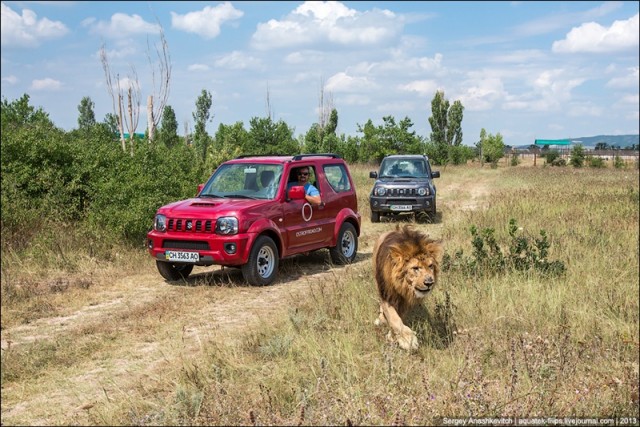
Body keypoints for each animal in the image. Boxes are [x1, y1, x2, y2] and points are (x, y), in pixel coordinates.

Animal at [372, 224, 442, 352]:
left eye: (430, 266)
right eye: (415, 268)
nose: (429, 282)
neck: (403, 285)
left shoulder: (405, 301)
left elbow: (399, 318)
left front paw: (392, 337)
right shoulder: (387, 295)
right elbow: (394, 318)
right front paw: (408, 340)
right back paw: (381, 319)